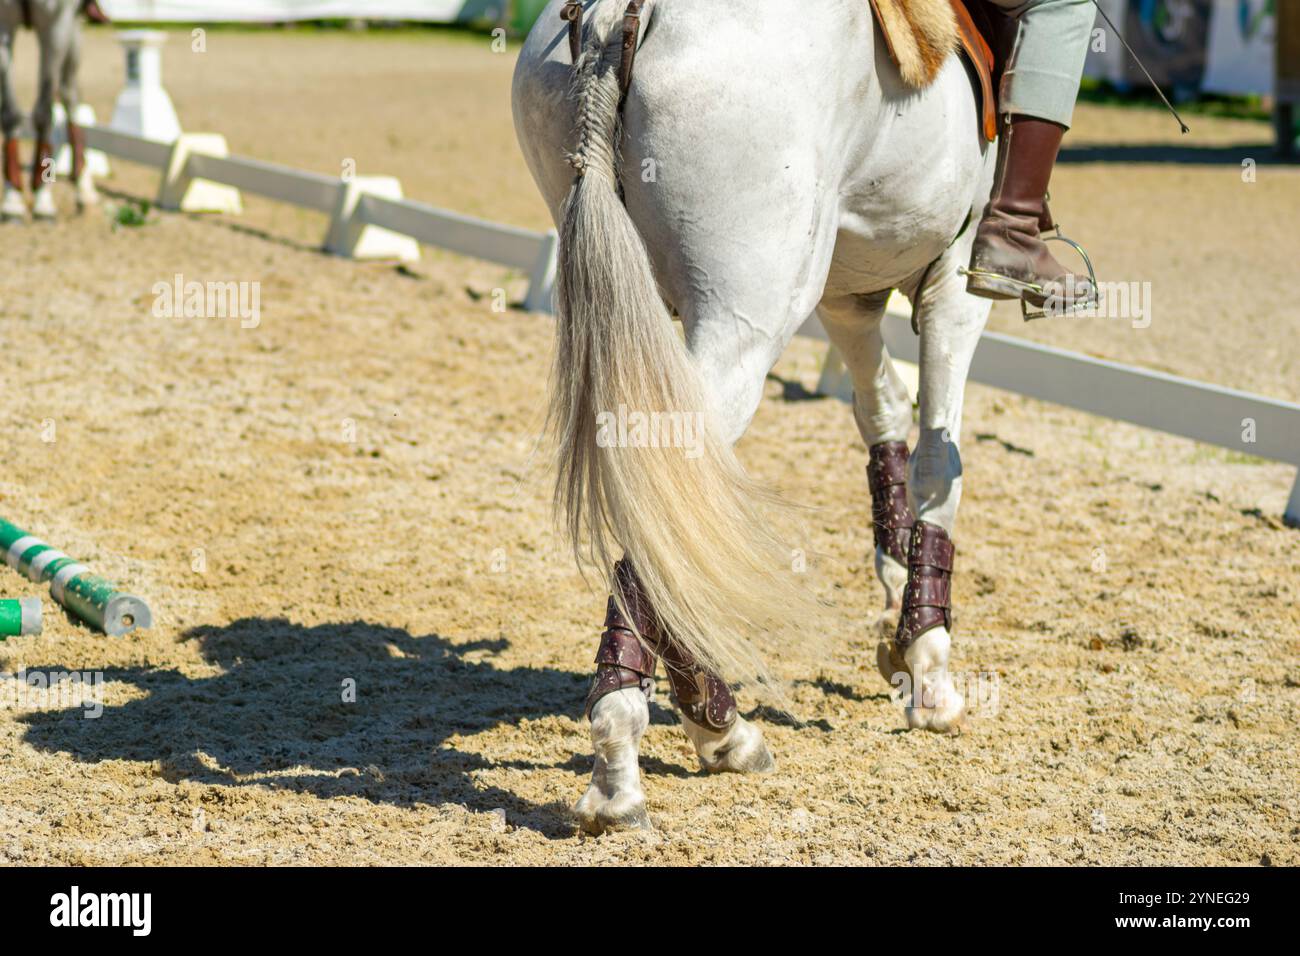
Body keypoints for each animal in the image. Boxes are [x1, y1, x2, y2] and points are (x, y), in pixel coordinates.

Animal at [0, 0, 104, 218]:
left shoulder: (57, 24)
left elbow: (44, 113)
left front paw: (42, 197)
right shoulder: (4, 23)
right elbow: (10, 113)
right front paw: (13, 197)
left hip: (73, 29)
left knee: (70, 94)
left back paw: (84, 188)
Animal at [509, 0, 993, 832]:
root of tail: (619, 14)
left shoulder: (850, 294)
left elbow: (883, 414)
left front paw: (897, 614)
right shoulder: (955, 281)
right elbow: (940, 456)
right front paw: (928, 664)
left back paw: (715, 723)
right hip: (748, 322)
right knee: (669, 499)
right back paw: (627, 762)